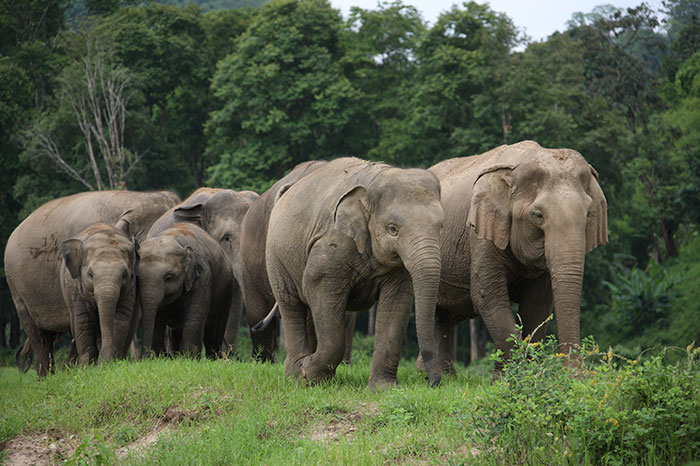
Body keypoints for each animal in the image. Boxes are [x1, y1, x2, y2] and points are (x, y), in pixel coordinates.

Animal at [60, 223, 139, 365]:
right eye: (90, 274)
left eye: (125, 275)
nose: (104, 362)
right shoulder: (75, 288)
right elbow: (83, 321)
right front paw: (87, 365)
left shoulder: (130, 287)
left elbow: (120, 318)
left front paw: (112, 362)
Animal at [138, 222, 233, 358]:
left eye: (168, 278)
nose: (144, 358)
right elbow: (157, 320)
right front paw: (162, 357)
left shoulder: (203, 279)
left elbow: (194, 319)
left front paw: (189, 358)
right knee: (175, 333)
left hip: (226, 293)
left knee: (214, 333)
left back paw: (212, 358)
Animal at [266, 157, 445, 388]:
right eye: (392, 229)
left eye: (441, 226)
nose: (431, 382)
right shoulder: (333, 243)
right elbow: (317, 284)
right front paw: (309, 373)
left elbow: (396, 303)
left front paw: (383, 388)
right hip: (276, 257)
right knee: (291, 305)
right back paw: (297, 374)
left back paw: (298, 374)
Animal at [422, 140, 607, 374]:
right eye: (538, 215)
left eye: (588, 214)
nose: (574, 375)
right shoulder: (481, 234)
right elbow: (487, 295)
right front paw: (508, 377)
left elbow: (538, 304)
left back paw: (447, 377)